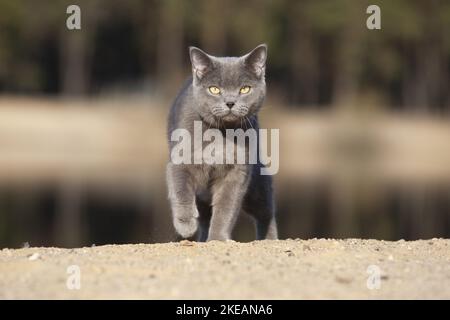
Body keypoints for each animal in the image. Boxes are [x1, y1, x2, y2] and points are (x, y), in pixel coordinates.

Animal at [166, 43, 278, 241]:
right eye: (214, 89)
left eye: (245, 89)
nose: (230, 102)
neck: (222, 134)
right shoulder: (180, 161)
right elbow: (181, 190)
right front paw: (186, 226)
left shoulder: (238, 171)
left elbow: (226, 207)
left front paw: (217, 238)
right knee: (204, 216)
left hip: (257, 184)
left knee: (266, 211)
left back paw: (269, 240)